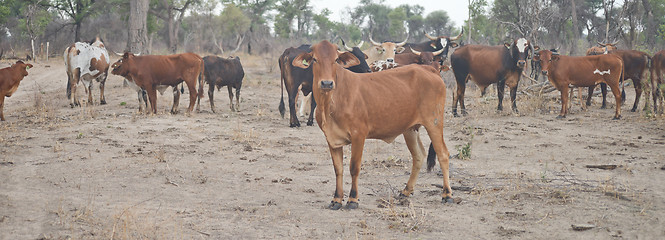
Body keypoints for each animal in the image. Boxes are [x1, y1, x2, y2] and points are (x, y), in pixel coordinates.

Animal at [292, 40, 452, 210]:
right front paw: (336, 199)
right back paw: (406, 191)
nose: (327, 83)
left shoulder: (359, 135)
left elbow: (354, 167)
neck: (331, 102)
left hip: (434, 123)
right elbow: (338, 169)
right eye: (315, 59)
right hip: (410, 129)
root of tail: (429, 69)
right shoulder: (331, 139)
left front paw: (353, 199)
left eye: (336, 60)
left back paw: (447, 194)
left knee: (443, 154)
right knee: (419, 155)